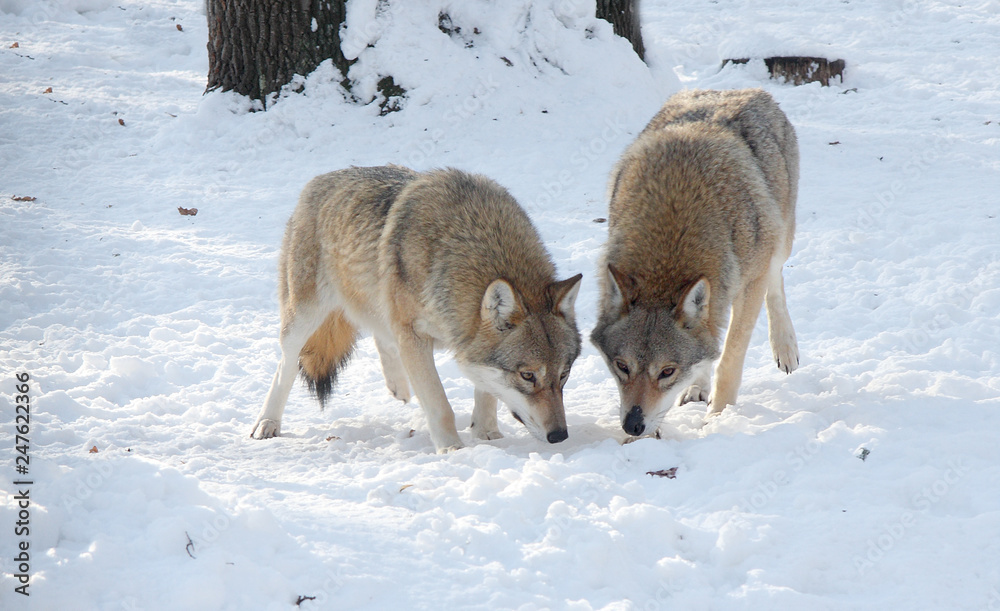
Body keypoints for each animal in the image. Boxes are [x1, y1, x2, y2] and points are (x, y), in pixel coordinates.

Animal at [250, 166, 583, 453]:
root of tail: (318, 180)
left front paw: (487, 433)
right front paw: (452, 449)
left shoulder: (460, 340)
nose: (559, 436)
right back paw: (267, 423)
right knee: (286, 364)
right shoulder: (414, 336)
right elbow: (440, 404)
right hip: (303, 319)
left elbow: (487, 390)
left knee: (381, 338)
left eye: (564, 374)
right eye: (528, 376)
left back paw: (398, 387)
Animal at [590, 88, 800, 437]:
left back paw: (785, 348)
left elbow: (729, 358)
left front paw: (718, 417)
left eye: (667, 371)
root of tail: (745, 91)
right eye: (622, 367)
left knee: (776, 281)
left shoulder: (751, 281)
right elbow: (710, 350)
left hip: (780, 238)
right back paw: (697, 387)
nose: (633, 425)